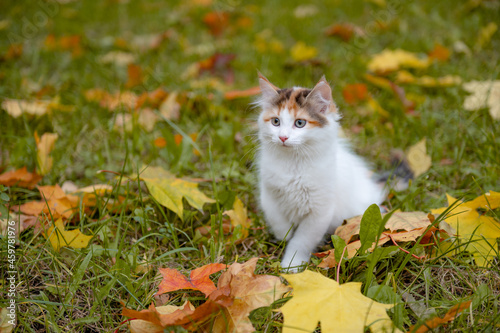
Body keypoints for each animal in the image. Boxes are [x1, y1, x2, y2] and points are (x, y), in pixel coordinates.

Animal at [256, 72, 384, 270]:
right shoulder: (269, 197)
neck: (293, 163)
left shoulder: (319, 211)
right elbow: (279, 224)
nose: (283, 137)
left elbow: (301, 241)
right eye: (275, 122)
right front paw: (284, 237)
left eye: (300, 123)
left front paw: (291, 265)